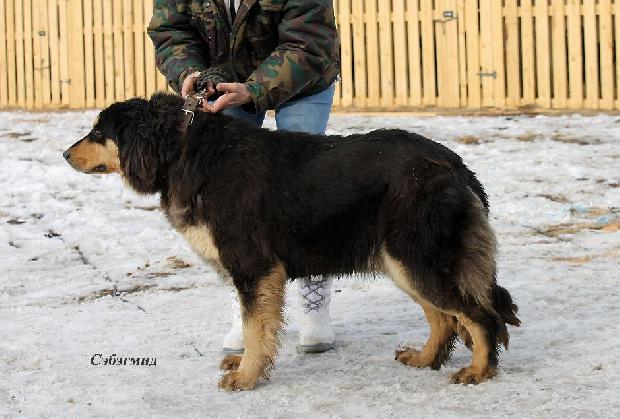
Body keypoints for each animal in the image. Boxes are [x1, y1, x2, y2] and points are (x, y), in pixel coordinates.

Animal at [64, 93, 520, 391]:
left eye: (98, 132)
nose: (66, 154)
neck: (181, 149)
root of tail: (454, 163)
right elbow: (254, 326)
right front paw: (247, 367)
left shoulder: (255, 266)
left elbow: (255, 328)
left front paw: (246, 376)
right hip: (403, 262)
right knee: (443, 318)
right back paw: (425, 359)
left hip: (416, 258)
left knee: (480, 316)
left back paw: (479, 372)